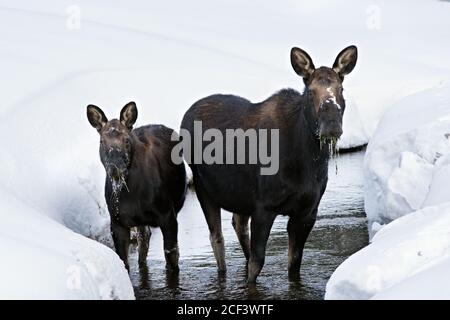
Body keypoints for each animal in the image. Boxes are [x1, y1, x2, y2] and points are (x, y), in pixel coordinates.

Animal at [87, 102, 187, 272]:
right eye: (101, 142)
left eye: (126, 141)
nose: (114, 168)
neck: (132, 195)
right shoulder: (117, 221)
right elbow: (123, 261)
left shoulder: (167, 215)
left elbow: (171, 257)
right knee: (144, 239)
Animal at [180, 45, 358, 282]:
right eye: (311, 91)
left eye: (341, 89)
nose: (332, 126)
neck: (307, 163)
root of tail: (185, 115)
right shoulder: (264, 206)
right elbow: (257, 264)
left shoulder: (307, 212)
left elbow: (294, 265)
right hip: (203, 186)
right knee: (217, 238)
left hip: (241, 195)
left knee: (238, 225)